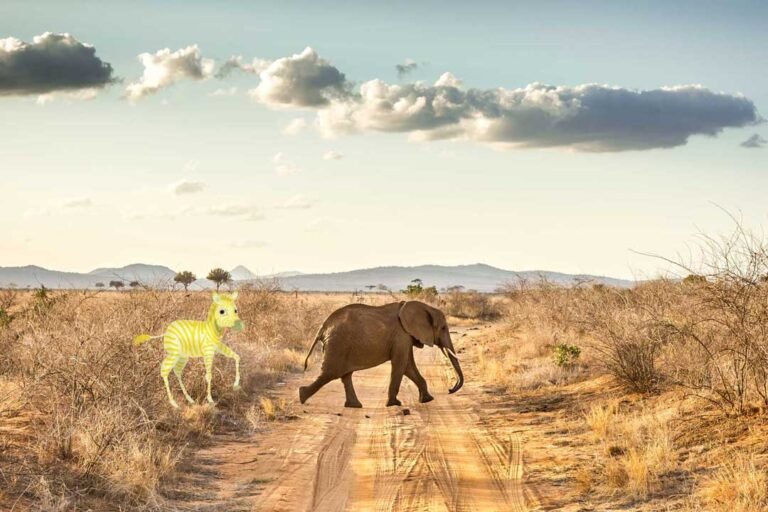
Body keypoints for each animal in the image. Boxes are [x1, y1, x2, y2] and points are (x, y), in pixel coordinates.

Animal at [299, 300, 464, 408]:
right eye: (443, 328)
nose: (450, 390)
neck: (426, 307)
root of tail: (322, 328)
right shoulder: (401, 335)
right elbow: (401, 364)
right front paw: (394, 404)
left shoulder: (405, 336)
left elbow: (408, 366)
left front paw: (427, 400)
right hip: (338, 343)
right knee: (330, 373)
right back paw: (302, 396)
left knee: (344, 375)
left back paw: (355, 406)